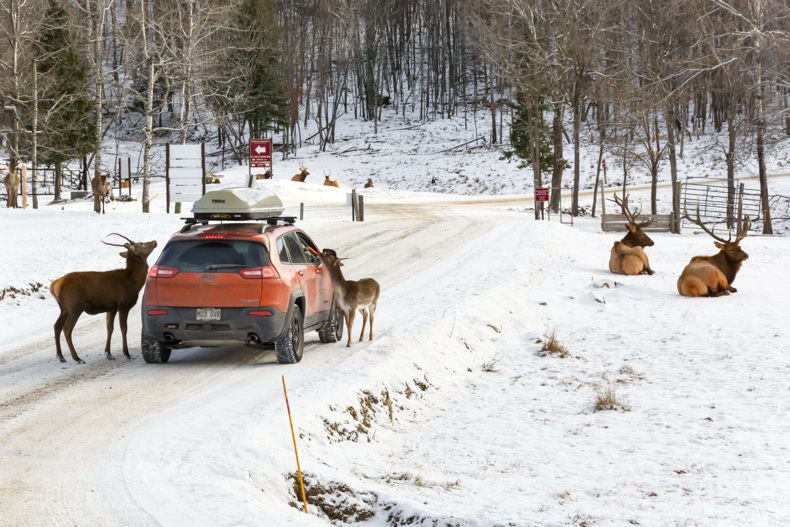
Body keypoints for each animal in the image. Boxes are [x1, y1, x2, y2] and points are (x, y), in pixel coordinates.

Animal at [50, 234, 158, 364]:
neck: (134, 281)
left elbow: (110, 328)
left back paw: (61, 356)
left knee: (56, 326)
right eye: (141, 243)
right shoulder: (123, 304)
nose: (154, 241)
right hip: (74, 306)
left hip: (64, 308)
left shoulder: (111, 307)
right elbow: (123, 328)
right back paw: (77, 358)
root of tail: (54, 286)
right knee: (66, 329)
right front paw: (127, 353)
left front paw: (108, 353)